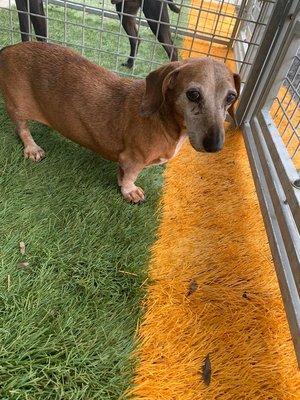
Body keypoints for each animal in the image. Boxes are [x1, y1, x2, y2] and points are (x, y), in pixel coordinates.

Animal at [0, 43, 239, 203]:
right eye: (193, 94)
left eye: (231, 97)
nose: (215, 146)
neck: (164, 120)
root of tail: (9, 48)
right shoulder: (133, 159)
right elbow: (131, 176)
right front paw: (129, 190)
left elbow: (122, 174)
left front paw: (121, 182)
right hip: (17, 107)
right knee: (21, 128)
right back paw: (32, 148)